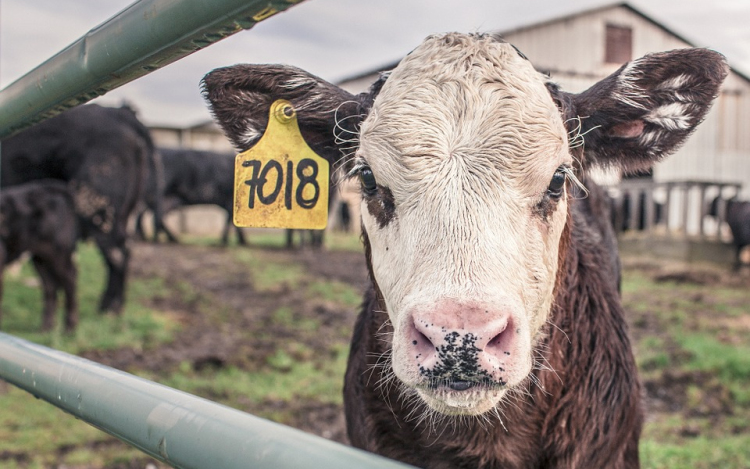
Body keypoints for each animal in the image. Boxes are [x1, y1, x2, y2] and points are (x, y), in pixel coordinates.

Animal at [0, 178, 78, 330]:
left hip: (59, 253)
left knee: (70, 279)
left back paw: (69, 328)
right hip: (40, 257)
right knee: (50, 285)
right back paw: (46, 327)